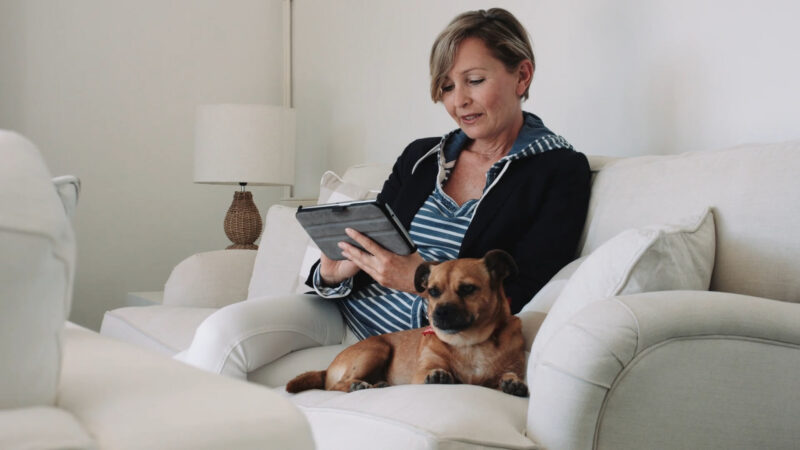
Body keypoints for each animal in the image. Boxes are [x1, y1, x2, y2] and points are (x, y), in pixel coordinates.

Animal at [284, 250, 528, 398]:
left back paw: (378, 384)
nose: (439, 312)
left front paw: (512, 383)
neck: (469, 343)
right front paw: (440, 376)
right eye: (433, 291)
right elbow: (439, 373)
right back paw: (360, 385)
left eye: (468, 289)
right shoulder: (421, 374)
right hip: (376, 349)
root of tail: (327, 369)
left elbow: (504, 377)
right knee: (337, 385)